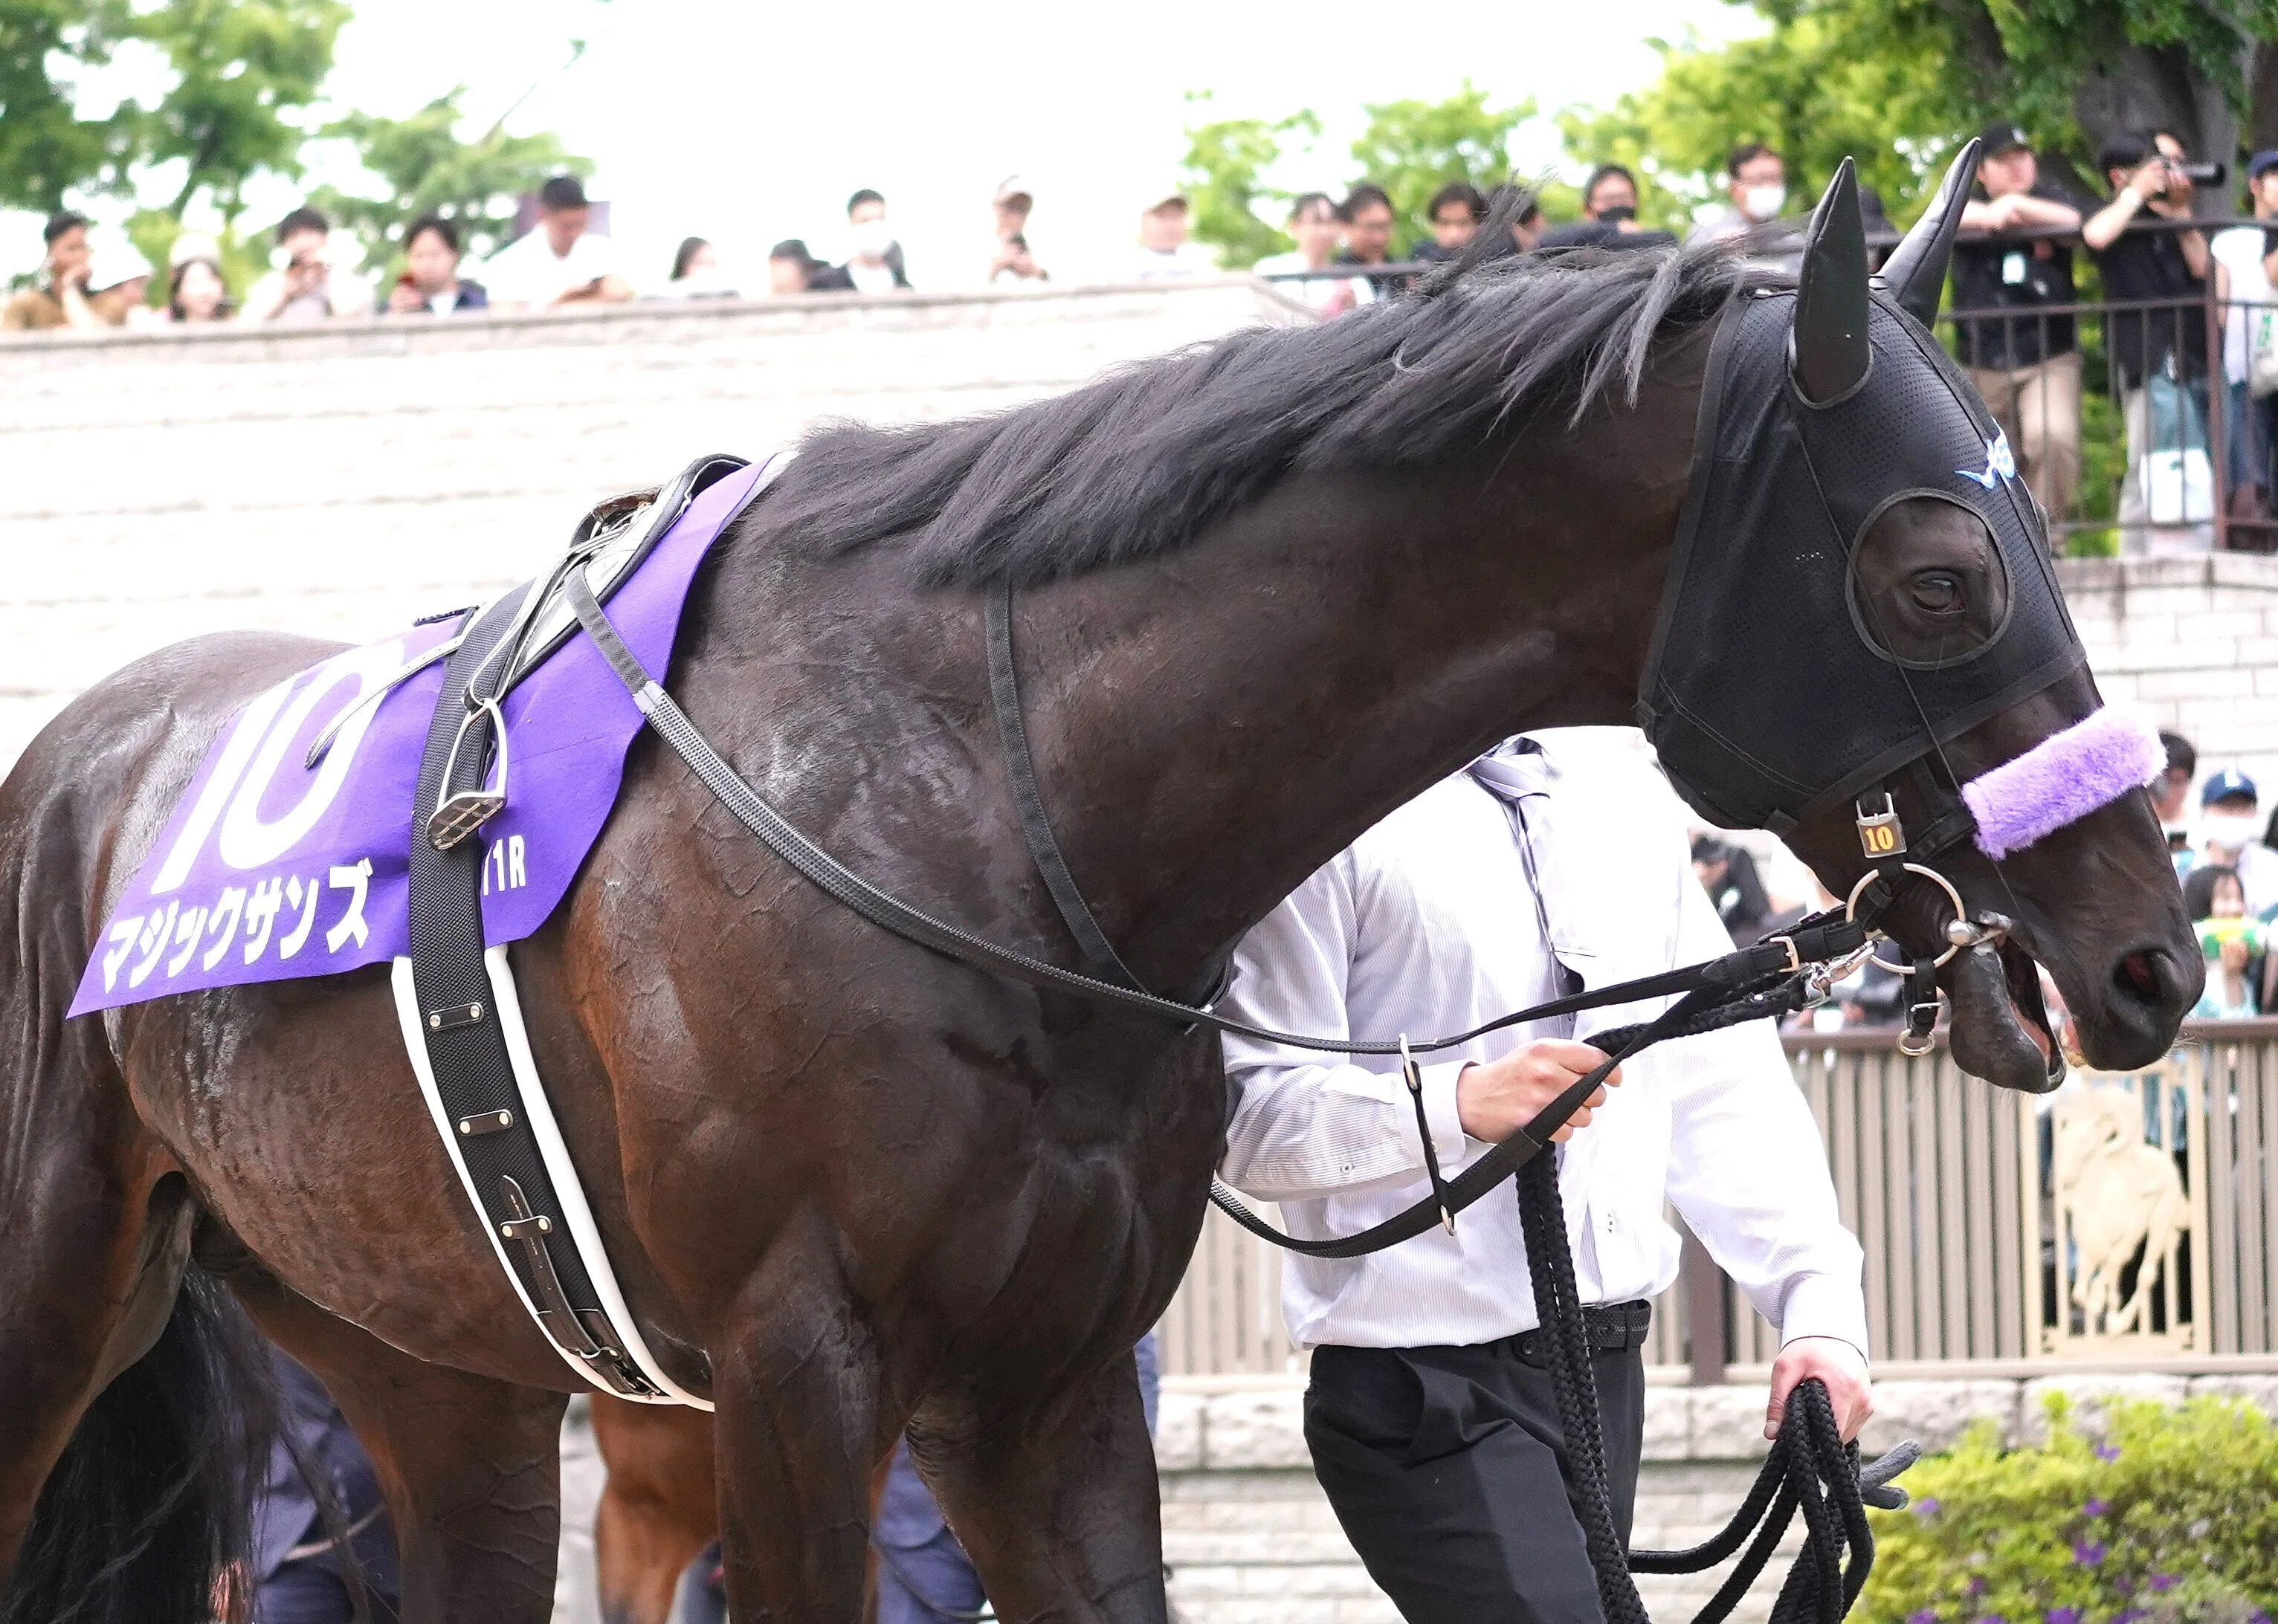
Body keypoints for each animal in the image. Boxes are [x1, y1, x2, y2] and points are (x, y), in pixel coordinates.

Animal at [1, 158, 2197, 1624]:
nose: (2149, 958)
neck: (980, 802)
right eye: (1939, 567)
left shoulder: (1043, 1387)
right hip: (63, 1292)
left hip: (428, 1360)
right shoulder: (796, 1375)